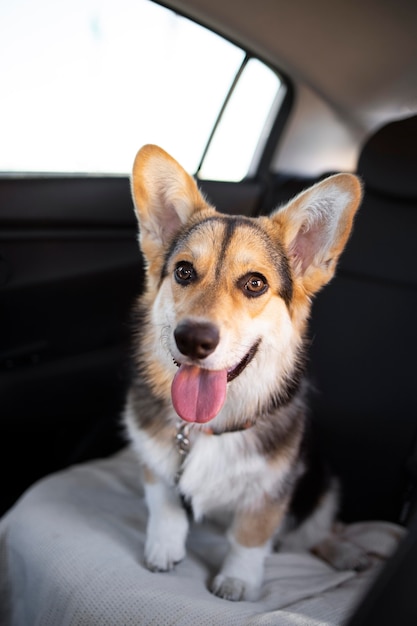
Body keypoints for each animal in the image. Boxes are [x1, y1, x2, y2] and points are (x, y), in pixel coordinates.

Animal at [124, 144, 364, 596]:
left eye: (255, 283)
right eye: (183, 271)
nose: (194, 340)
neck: (207, 427)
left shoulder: (272, 490)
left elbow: (250, 536)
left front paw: (237, 580)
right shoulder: (154, 462)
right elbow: (165, 502)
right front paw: (163, 548)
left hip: (321, 487)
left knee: (318, 533)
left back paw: (347, 554)